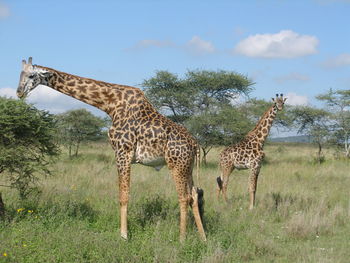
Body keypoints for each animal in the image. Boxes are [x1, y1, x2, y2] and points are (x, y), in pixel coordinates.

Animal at [16, 57, 206, 241]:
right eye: (20, 74)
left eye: (32, 75)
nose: (19, 92)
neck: (110, 104)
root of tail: (195, 144)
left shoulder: (122, 151)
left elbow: (123, 196)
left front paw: (124, 236)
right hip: (187, 167)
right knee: (194, 196)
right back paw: (203, 237)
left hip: (176, 165)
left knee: (184, 197)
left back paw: (182, 238)